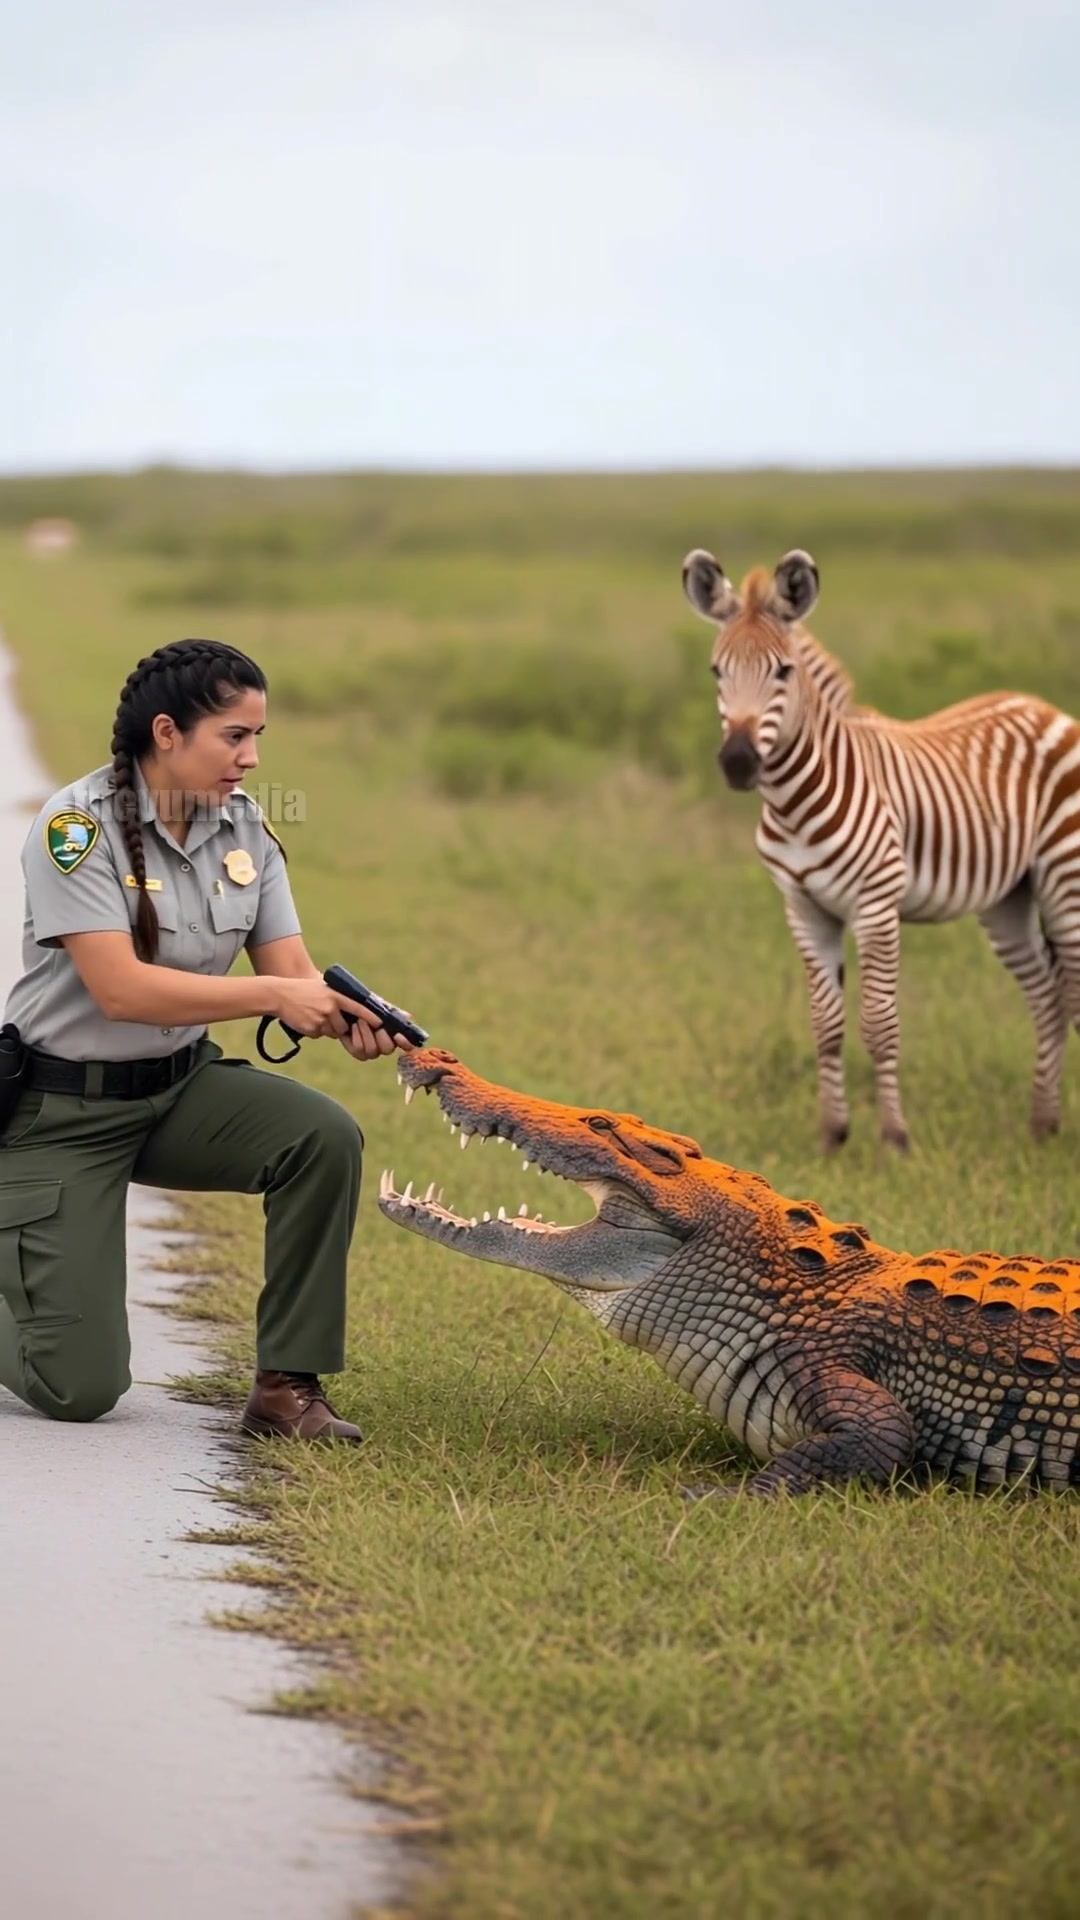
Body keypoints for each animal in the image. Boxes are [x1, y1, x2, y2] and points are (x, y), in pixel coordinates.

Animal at [681, 545, 1080, 1153]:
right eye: (716, 671)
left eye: (783, 671)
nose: (738, 763)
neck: (795, 802)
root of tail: (1040, 705)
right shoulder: (804, 910)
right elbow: (825, 1023)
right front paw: (832, 1135)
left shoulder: (875, 906)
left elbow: (878, 1022)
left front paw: (895, 1137)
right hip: (1008, 899)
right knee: (1048, 995)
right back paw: (1042, 1124)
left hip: (1065, 876)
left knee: (1071, 990)